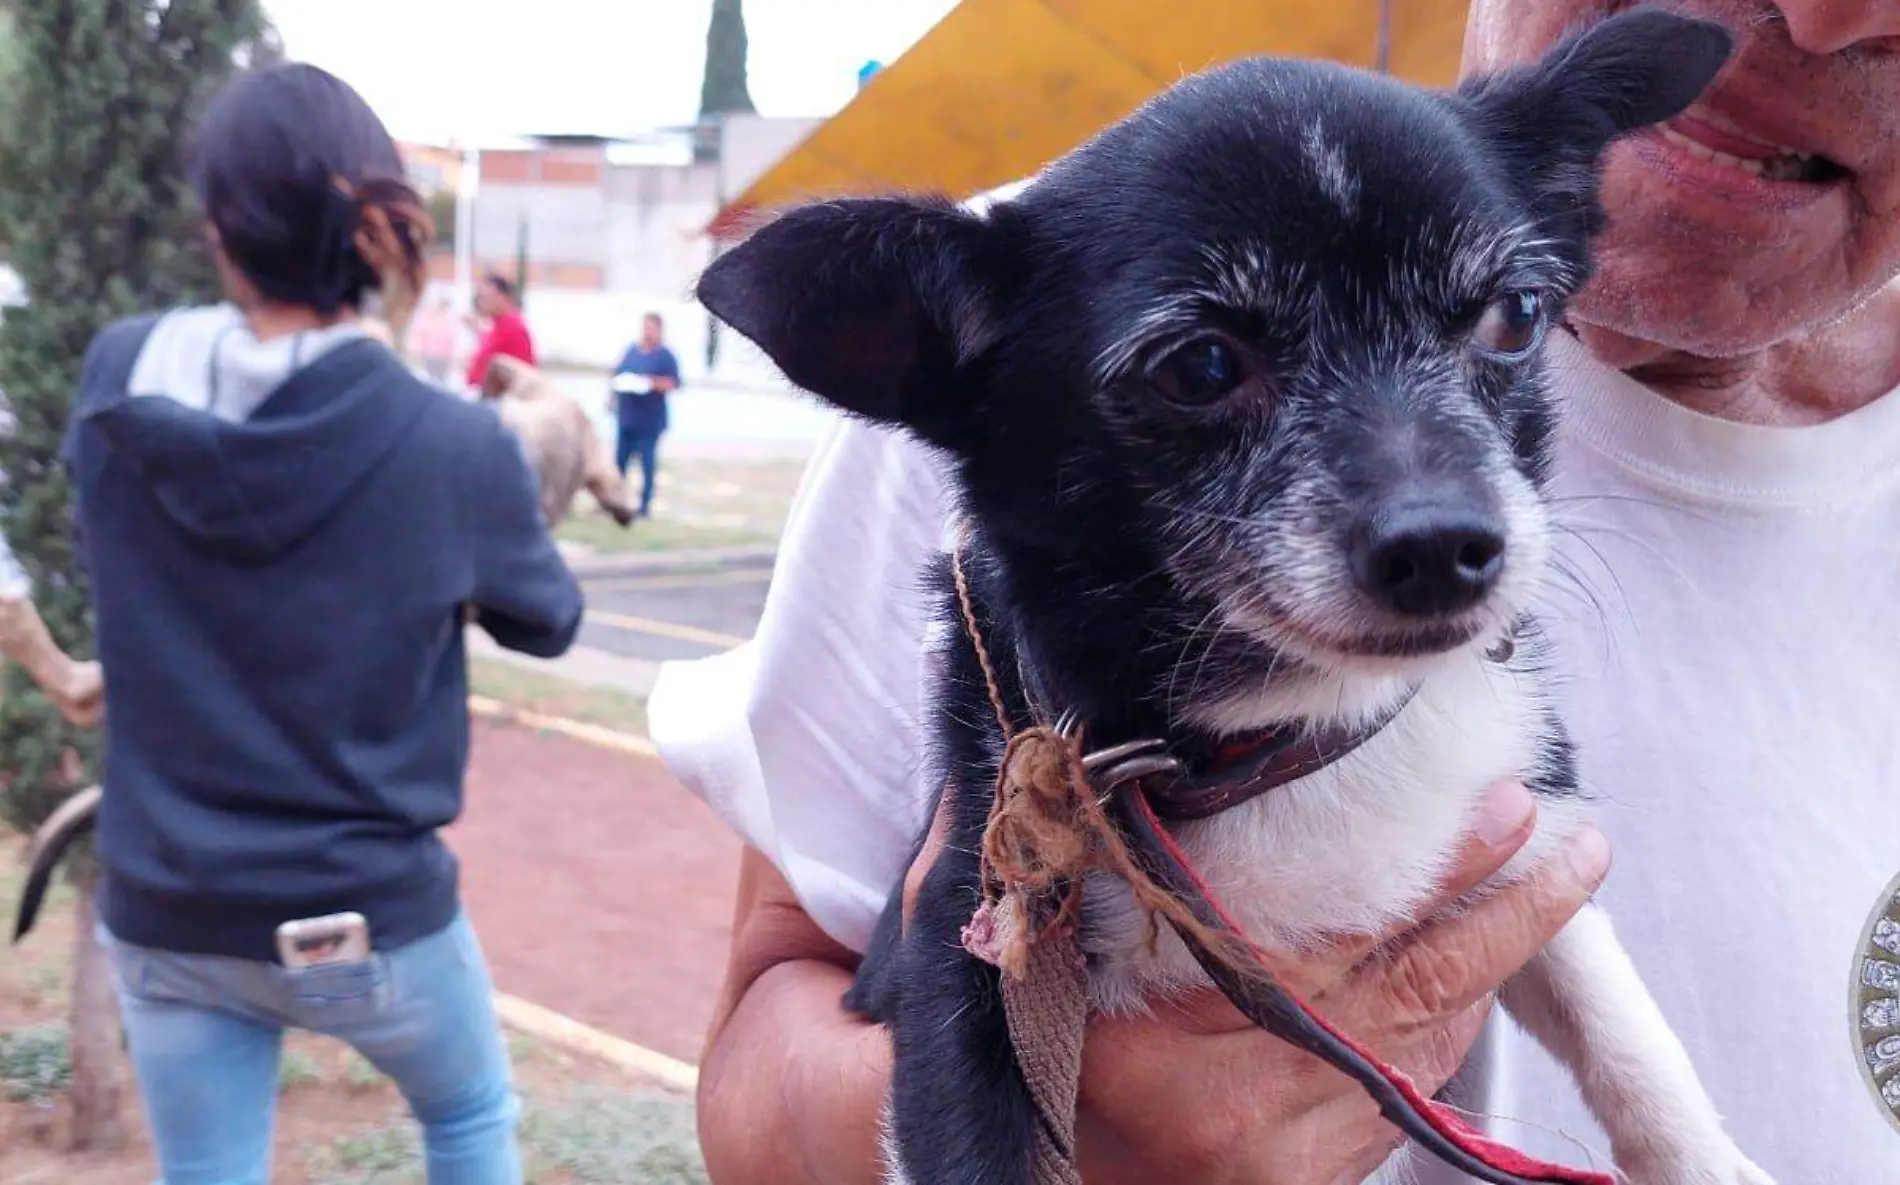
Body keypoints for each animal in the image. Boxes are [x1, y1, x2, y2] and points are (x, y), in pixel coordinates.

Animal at [706, 9, 1770, 1185]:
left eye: (1517, 316)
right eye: (1200, 368)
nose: (1445, 545)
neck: (1279, 731)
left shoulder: (1531, 839)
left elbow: (1622, 1025)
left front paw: (1711, 1161)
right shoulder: (961, 961)